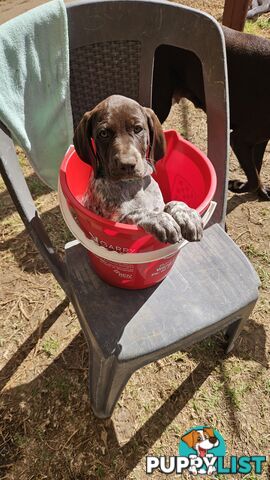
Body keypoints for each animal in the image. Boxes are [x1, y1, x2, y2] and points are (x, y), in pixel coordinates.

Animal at [73, 94, 204, 244]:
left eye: (137, 129)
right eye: (103, 133)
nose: (127, 165)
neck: (134, 185)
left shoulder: (160, 204)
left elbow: (173, 203)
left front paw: (186, 214)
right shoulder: (118, 222)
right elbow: (139, 211)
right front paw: (161, 219)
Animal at [153, 24, 270, 201]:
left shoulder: (260, 140)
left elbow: (257, 165)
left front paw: (260, 190)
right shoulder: (239, 139)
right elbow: (254, 178)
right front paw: (237, 186)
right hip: (160, 102)